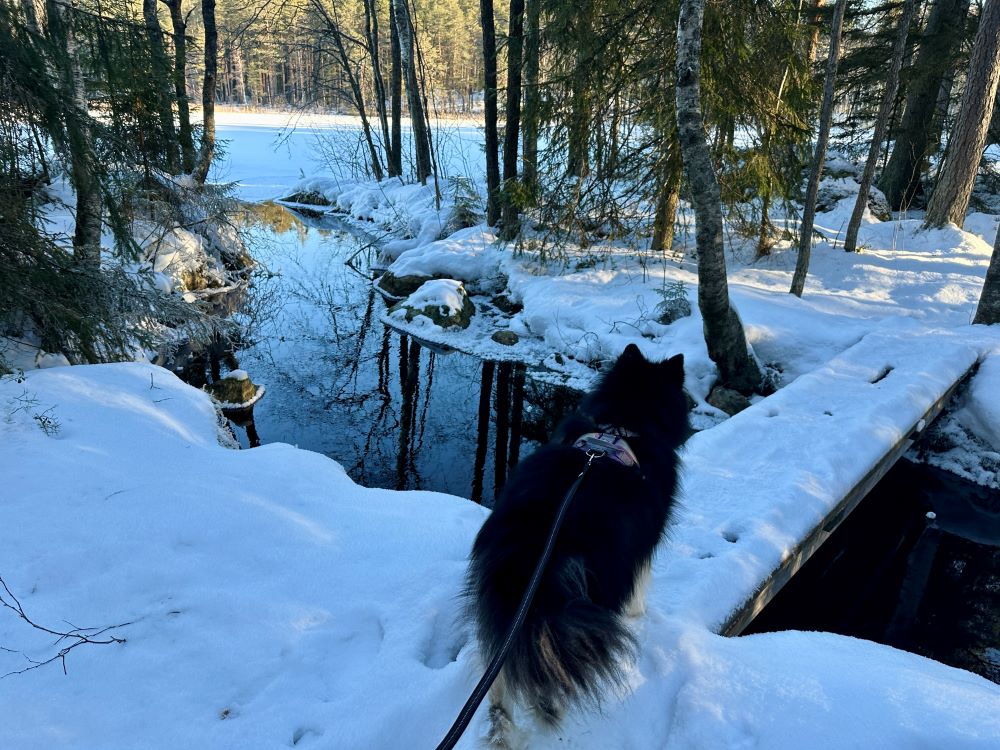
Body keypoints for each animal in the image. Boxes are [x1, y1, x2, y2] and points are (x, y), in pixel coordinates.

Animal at [466, 346, 688, 748]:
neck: (623, 422)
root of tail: (533, 540)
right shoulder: (640, 551)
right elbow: (640, 589)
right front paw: (639, 614)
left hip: (503, 606)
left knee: (501, 675)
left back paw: (502, 729)